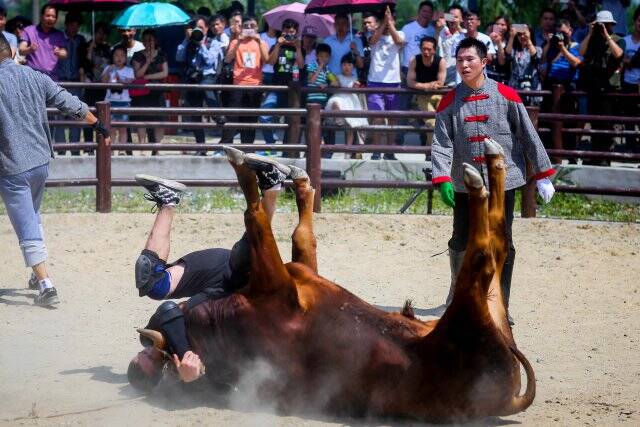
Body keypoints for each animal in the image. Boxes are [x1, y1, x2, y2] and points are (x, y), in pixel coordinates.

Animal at [136, 141, 536, 424]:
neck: (222, 328)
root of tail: (510, 398)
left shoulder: (295, 274)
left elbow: (299, 235)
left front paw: (291, 178)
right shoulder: (278, 286)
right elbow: (257, 217)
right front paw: (243, 165)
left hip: (487, 312)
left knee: (497, 246)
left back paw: (492, 162)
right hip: (469, 319)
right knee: (484, 255)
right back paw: (478, 181)